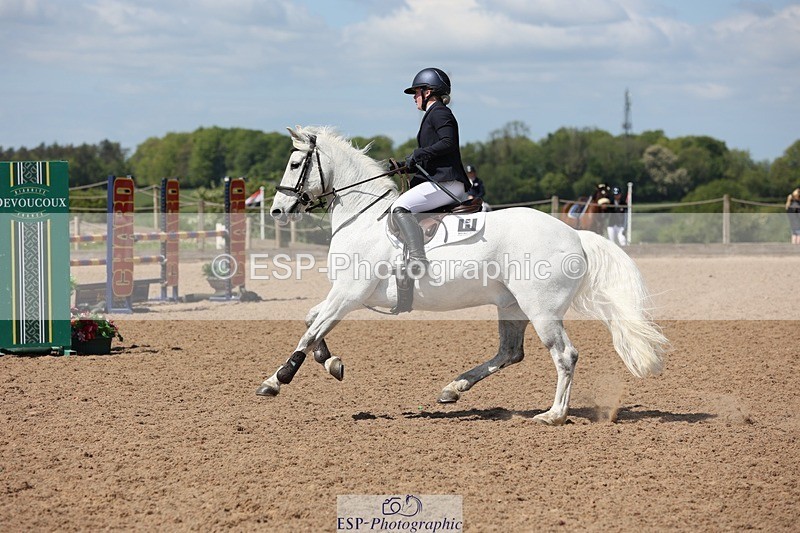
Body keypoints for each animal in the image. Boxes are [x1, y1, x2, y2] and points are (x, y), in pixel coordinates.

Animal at [259, 126, 666, 426]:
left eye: (294, 163)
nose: (277, 210)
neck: (363, 218)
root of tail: (575, 235)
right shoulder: (344, 294)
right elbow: (311, 322)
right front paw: (332, 364)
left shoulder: (349, 294)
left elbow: (310, 331)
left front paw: (277, 380)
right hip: (512, 306)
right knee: (510, 352)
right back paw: (453, 389)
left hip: (541, 309)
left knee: (565, 355)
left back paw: (553, 415)